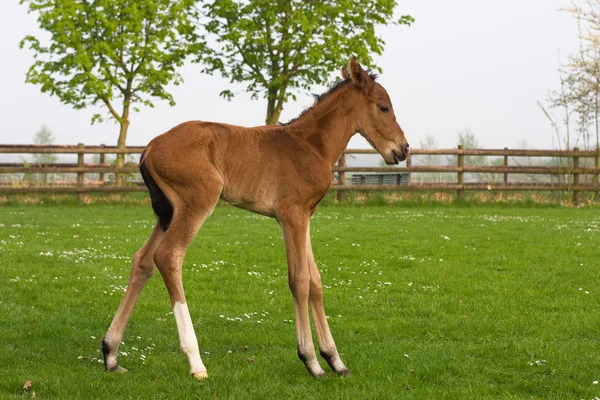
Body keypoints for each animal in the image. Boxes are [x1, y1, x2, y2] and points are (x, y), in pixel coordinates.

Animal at [103, 57, 410, 378]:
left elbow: (315, 282)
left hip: (167, 213)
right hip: (196, 202)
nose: (403, 148)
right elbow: (299, 280)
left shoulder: (306, 217)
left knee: (143, 261)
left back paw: (111, 354)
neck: (311, 145)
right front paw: (311, 360)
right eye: (383, 107)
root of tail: (149, 148)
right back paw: (196, 361)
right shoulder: (291, 215)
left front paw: (335, 360)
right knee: (168, 256)